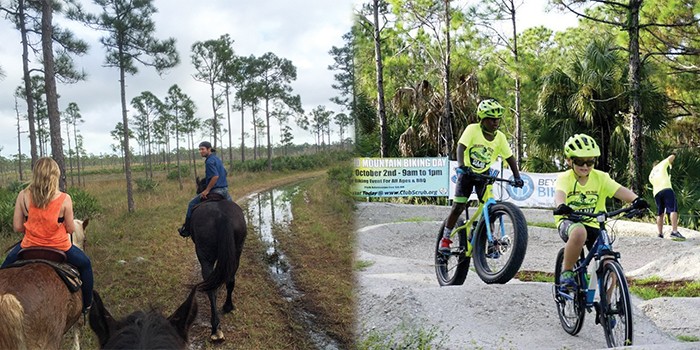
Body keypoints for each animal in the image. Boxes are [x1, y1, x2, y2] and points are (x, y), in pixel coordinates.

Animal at [191, 178, 246, 342]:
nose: (199, 193)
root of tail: (223, 216)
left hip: (205, 257)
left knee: (211, 288)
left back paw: (215, 329)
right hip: (236, 253)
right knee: (230, 279)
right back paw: (228, 307)